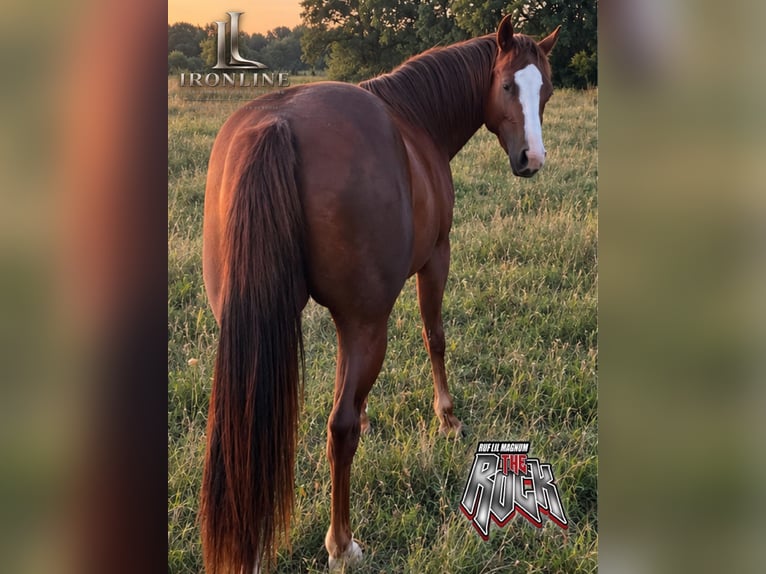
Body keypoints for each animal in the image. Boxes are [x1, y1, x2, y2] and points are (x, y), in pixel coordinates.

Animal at [200, 15, 560, 573]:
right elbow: (435, 337)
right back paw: (342, 543)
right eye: (506, 86)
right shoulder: (435, 257)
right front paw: (447, 418)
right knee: (338, 429)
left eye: (545, 90)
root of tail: (277, 125)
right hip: (369, 322)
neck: (415, 120)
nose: (532, 159)